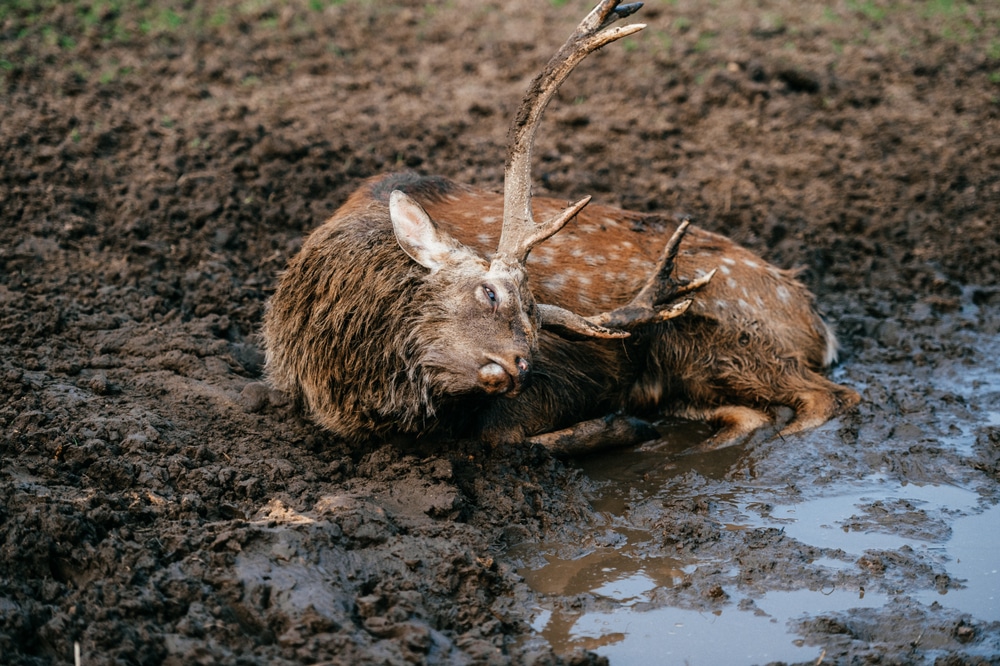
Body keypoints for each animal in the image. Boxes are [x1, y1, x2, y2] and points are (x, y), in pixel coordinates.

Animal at [261, 0, 859, 454]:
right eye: (489, 292)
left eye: (537, 327)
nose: (522, 365)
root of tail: (816, 323)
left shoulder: (572, 372)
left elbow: (501, 438)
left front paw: (620, 426)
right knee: (754, 414)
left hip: (725, 333)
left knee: (828, 397)